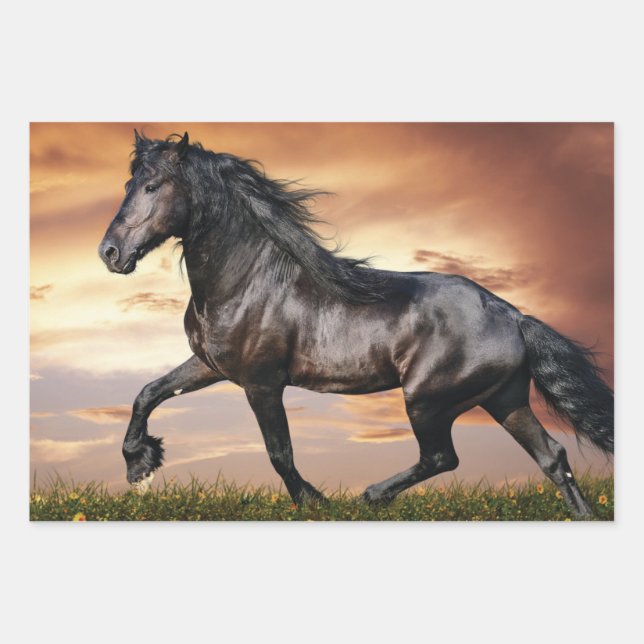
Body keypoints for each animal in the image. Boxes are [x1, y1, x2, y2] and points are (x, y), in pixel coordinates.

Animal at [98, 131, 614, 518]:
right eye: (127, 185)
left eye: (153, 186)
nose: (110, 253)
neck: (246, 280)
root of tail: (512, 315)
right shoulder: (211, 366)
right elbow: (148, 393)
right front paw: (140, 465)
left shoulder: (262, 382)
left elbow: (279, 453)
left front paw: (315, 502)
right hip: (504, 399)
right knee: (552, 458)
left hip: (427, 400)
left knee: (442, 457)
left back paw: (369, 496)